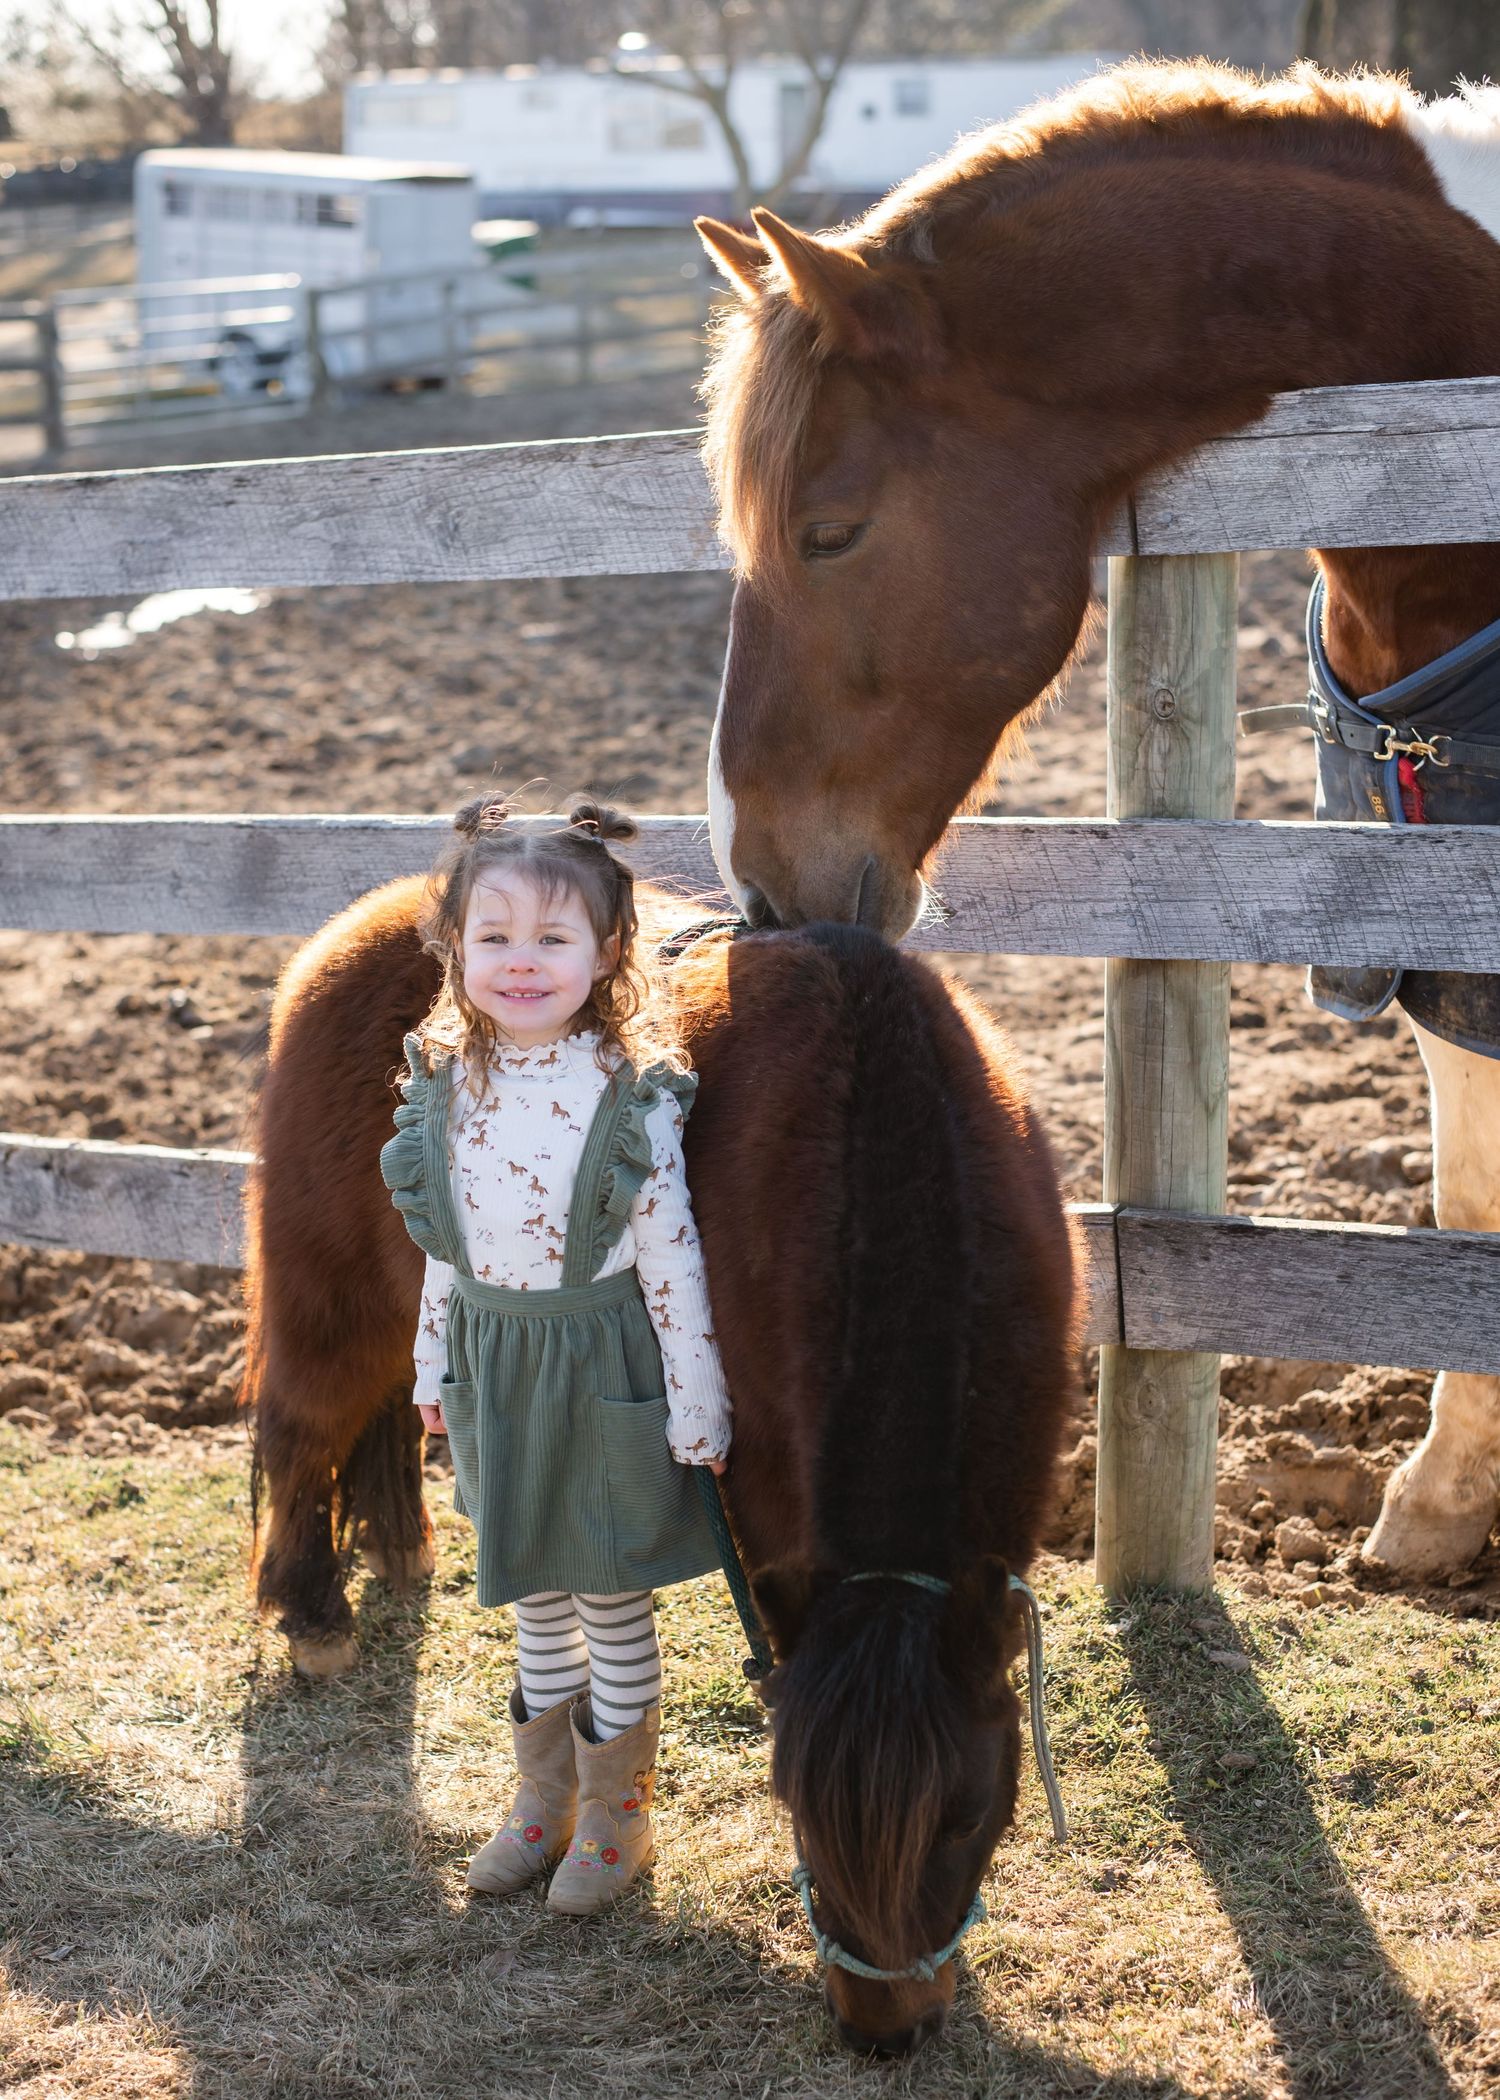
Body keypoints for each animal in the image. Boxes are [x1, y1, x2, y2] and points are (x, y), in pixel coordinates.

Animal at [242, 889, 1076, 2056]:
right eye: (792, 1806)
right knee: (303, 1427)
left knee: (387, 1418)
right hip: (327, 1288)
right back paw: (314, 1613)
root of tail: (355, 926)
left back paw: (401, 1549)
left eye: (967, 1816)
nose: (883, 2033)